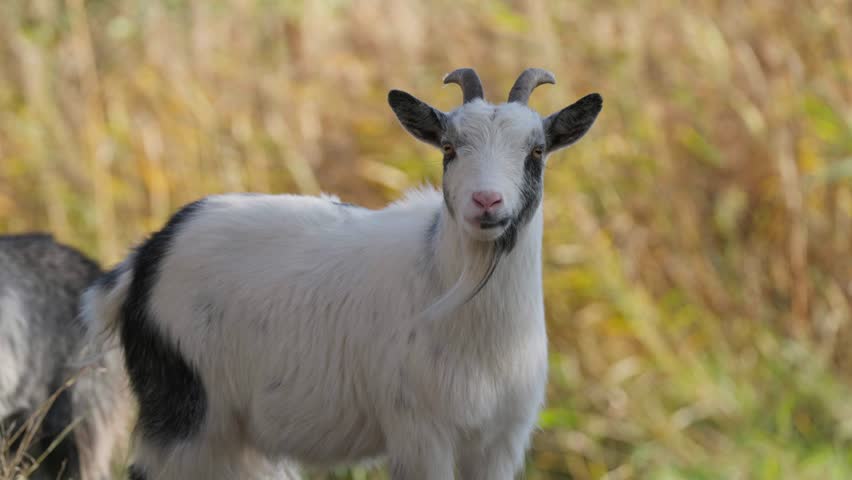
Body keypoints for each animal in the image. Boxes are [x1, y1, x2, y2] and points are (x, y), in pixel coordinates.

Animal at [82, 68, 602, 479]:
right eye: (449, 148)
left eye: (537, 152)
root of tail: (143, 258)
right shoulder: (420, 431)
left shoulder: (500, 439)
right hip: (186, 414)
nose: (487, 202)